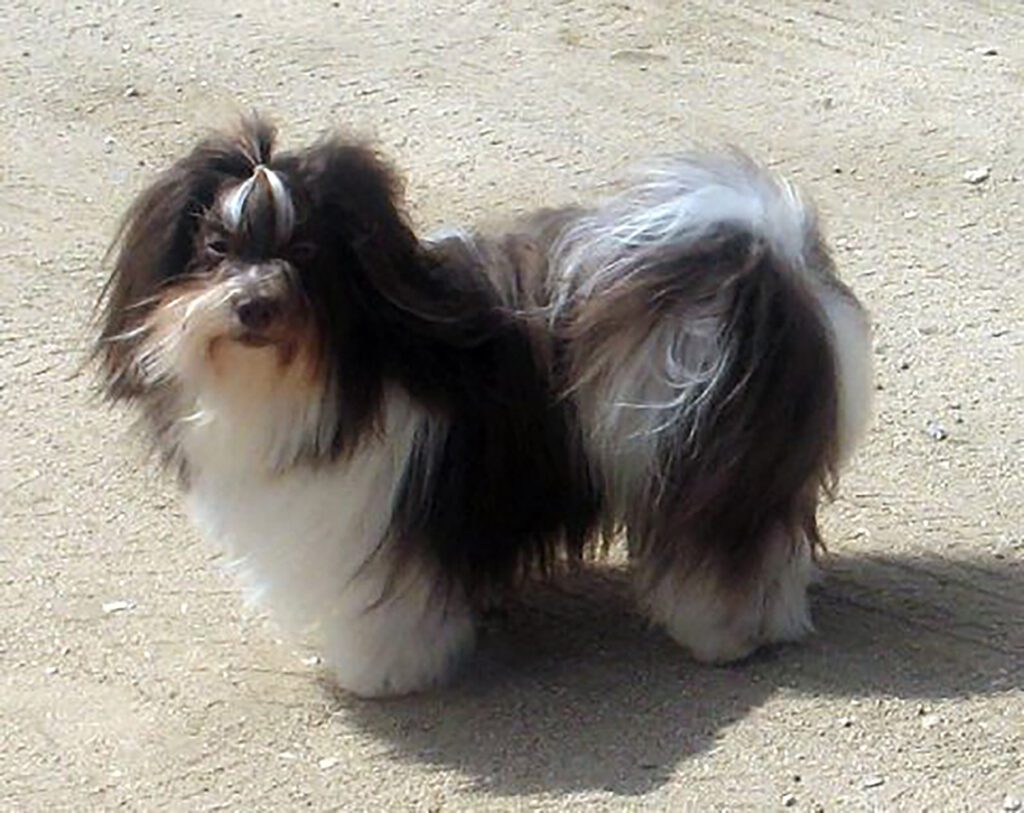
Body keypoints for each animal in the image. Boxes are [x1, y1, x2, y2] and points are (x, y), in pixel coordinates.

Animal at [94, 115, 872, 696]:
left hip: (715, 459)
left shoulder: (384, 517)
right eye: (215, 246)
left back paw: (728, 633)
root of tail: (767, 253)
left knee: (731, 545)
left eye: (307, 250)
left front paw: (382, 672)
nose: (252, 304)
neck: (337, 369)